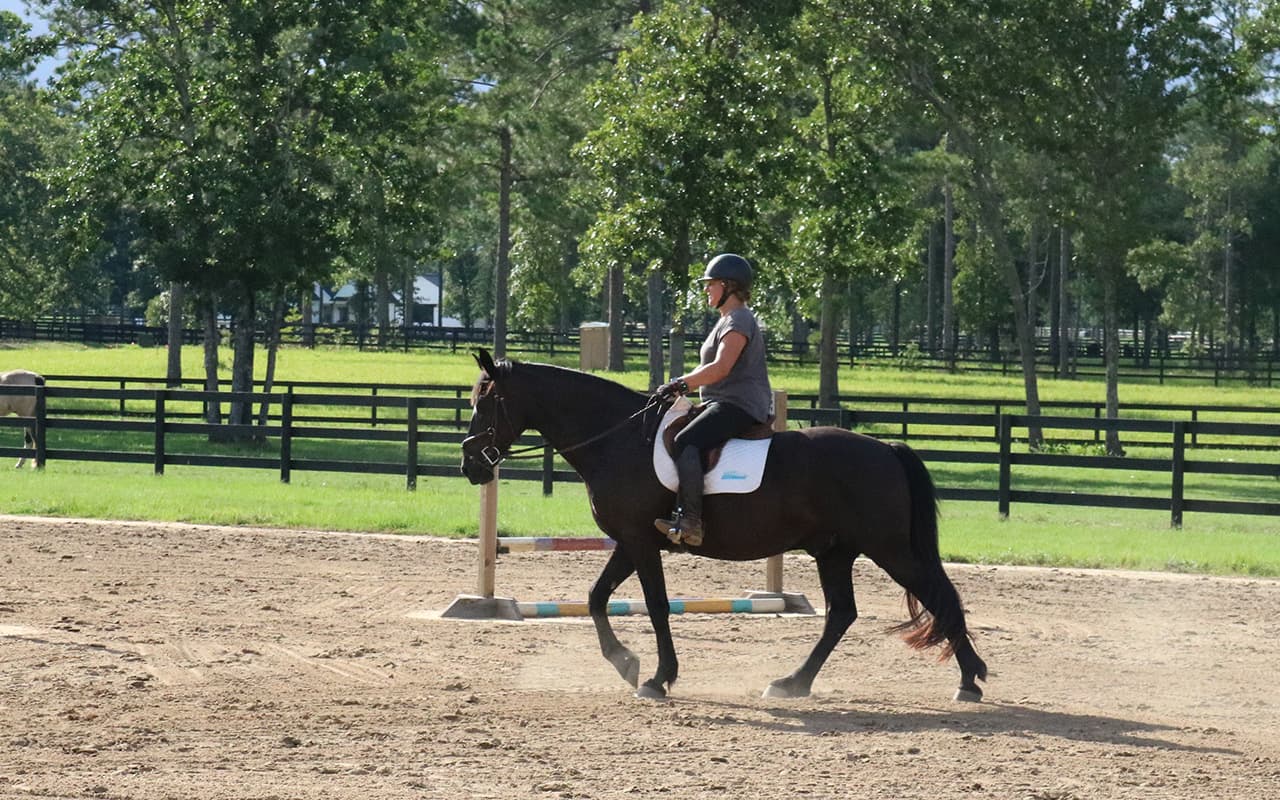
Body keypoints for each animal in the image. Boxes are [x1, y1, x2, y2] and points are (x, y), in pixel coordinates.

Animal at [460, 349, 988, 702]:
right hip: (835, 551)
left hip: (888, 548)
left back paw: (969, 680)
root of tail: (886, 449)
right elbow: (595, 597)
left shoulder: (640, 541)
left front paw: (656, 678)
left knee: (938, 596)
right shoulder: (630, 541)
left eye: (484, 402)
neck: (619, 439)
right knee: (842, 613)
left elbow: (655, 606)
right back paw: (792, 682)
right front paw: (626, 662)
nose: (470, 465)